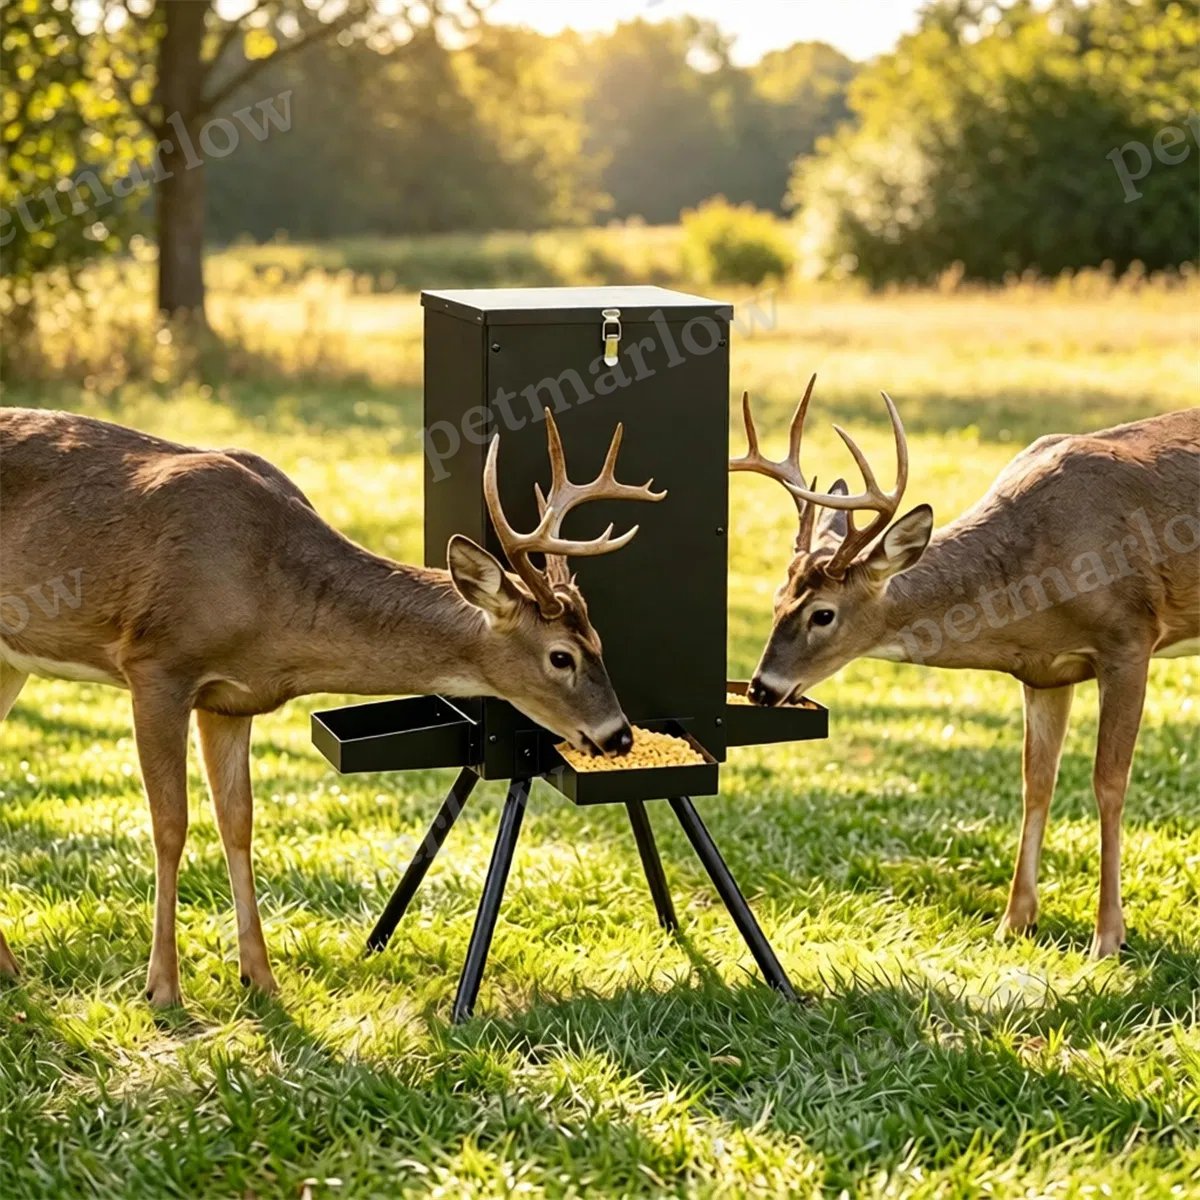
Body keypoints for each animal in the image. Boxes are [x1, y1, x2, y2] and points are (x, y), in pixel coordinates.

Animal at [0, 405, 663, 1005]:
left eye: (600, 642)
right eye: (561, 657)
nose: (619, 735)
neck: (267, 593)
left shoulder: (231, 701)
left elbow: (238, 822)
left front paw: (261, 979)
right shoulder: (157, 664)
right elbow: (171, 824)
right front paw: (163, 987)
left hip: (11, 663)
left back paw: (10, 968)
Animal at [730, 377, 1199, 959]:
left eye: (823, 614)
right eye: (776, 600)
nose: (761, 688)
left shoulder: (1130, 640)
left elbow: (1108, 783)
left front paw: (1108, 937)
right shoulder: (1045, 672)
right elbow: (1036, 781)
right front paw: (1014, 922)